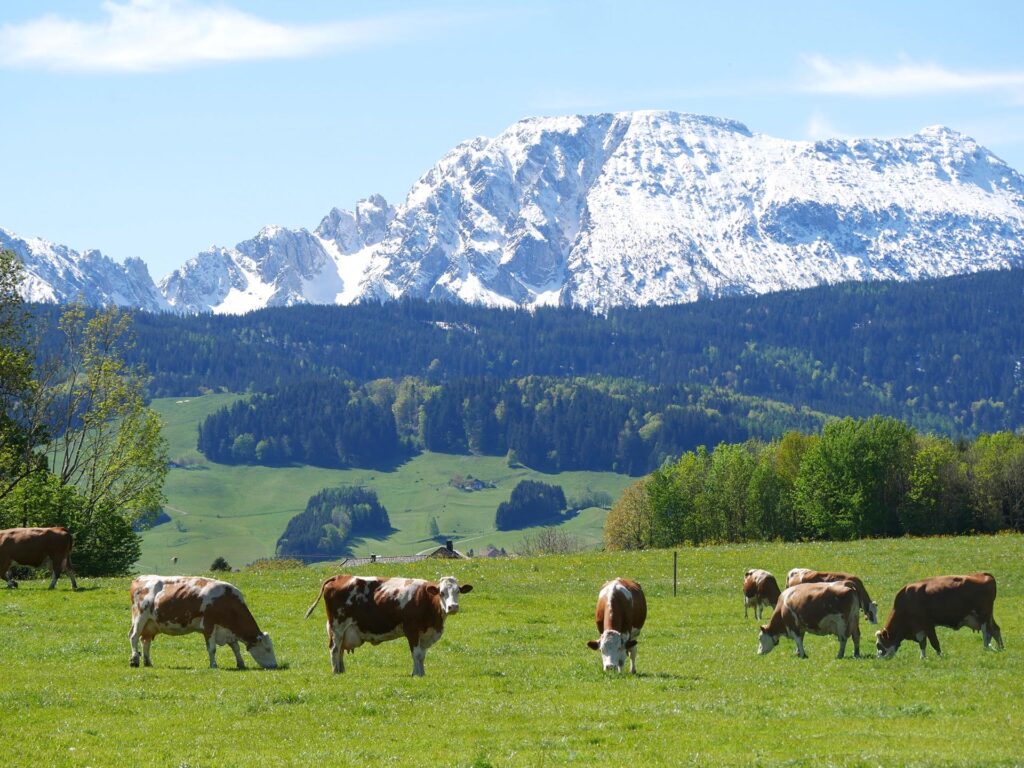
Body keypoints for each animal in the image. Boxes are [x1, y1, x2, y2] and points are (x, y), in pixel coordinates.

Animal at [128, 575, 277, 669]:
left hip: (151, 624)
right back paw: (134, 660)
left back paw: (147, 662)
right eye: (268, 649)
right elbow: (212, 648)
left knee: (145, 641)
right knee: (134, 637)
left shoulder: (228, 630)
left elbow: (236, 647)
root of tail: (139, 578)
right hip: (140, 616)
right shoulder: (209, 625)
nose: (275, 666)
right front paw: (214, 665)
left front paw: (241, 664)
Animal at [304, 575, 473, 677]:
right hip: (337, 626)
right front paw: (417, 674)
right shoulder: (412, 630)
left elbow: (422, 655)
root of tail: (339, 576)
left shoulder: (425, 634)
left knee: (339, 650)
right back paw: (335, 672)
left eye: (458, 591)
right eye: (441, 592)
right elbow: (417, 654)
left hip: (343, 630)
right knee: (334, 649)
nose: (453, 607)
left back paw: (341, 671)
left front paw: (422, 673)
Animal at [875, 573, 1004, 659]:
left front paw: (940, 656)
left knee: (986, 633)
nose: (879, 658)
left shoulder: (928, 625)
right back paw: (1000, 648)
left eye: (879, 646)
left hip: (983, 615)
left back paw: (986, 648)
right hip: (987, 616)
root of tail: (984, 574)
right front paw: (923, 658)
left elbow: (934, 642)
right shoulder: (919, 628)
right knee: (995, 630)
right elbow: (923, 643)